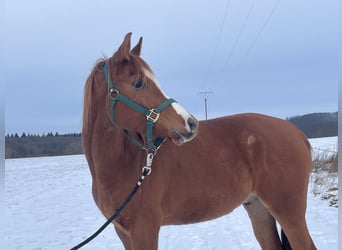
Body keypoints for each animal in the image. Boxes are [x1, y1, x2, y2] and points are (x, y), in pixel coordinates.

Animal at [81, 33, 316, 250]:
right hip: (259, 209)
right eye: (138, 83)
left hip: (289, 213)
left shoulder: (145, 230)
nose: (190, 123)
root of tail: (296, 132)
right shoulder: (124, 233)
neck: (125, 164)